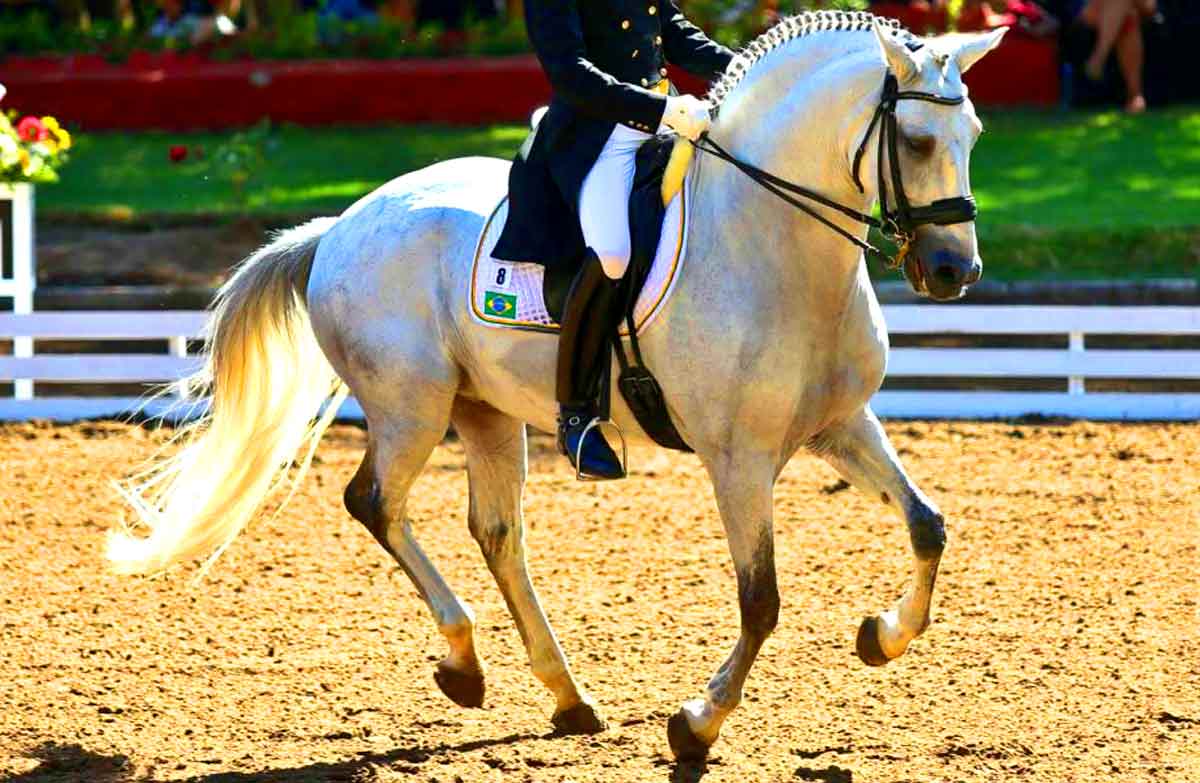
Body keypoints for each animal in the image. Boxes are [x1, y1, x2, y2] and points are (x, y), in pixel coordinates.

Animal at [108, 13, 1006, 761]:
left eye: (974, 133)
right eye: (915, 139)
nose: (954, 272)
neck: (773, 241)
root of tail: (339, 226)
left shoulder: (841, 424)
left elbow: (928, 526)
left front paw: (881, 635)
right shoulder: (738, 456)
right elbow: (762, 600)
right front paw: (696, 723)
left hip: (484, 411)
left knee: (497, 531)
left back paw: (567, 696)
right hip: (411, 407)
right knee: (376, 503)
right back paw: (464, 663)